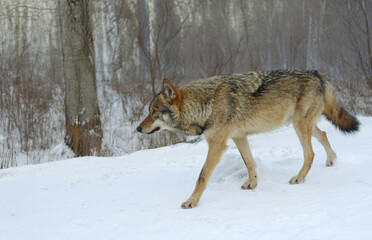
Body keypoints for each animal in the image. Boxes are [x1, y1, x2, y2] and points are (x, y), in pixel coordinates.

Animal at [136, 69, 358, 208]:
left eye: (154, 111)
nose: (138, 128)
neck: (206, 104)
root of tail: (316, 72)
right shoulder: (239, 137)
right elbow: (249, 162)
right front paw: (252, 183)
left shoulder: (217, 145)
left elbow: (202, 177)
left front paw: (192, 201)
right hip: (302, 125)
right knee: (324, 134)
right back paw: (331, 160)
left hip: (299, 126)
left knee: (310, 153)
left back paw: (299, 177)